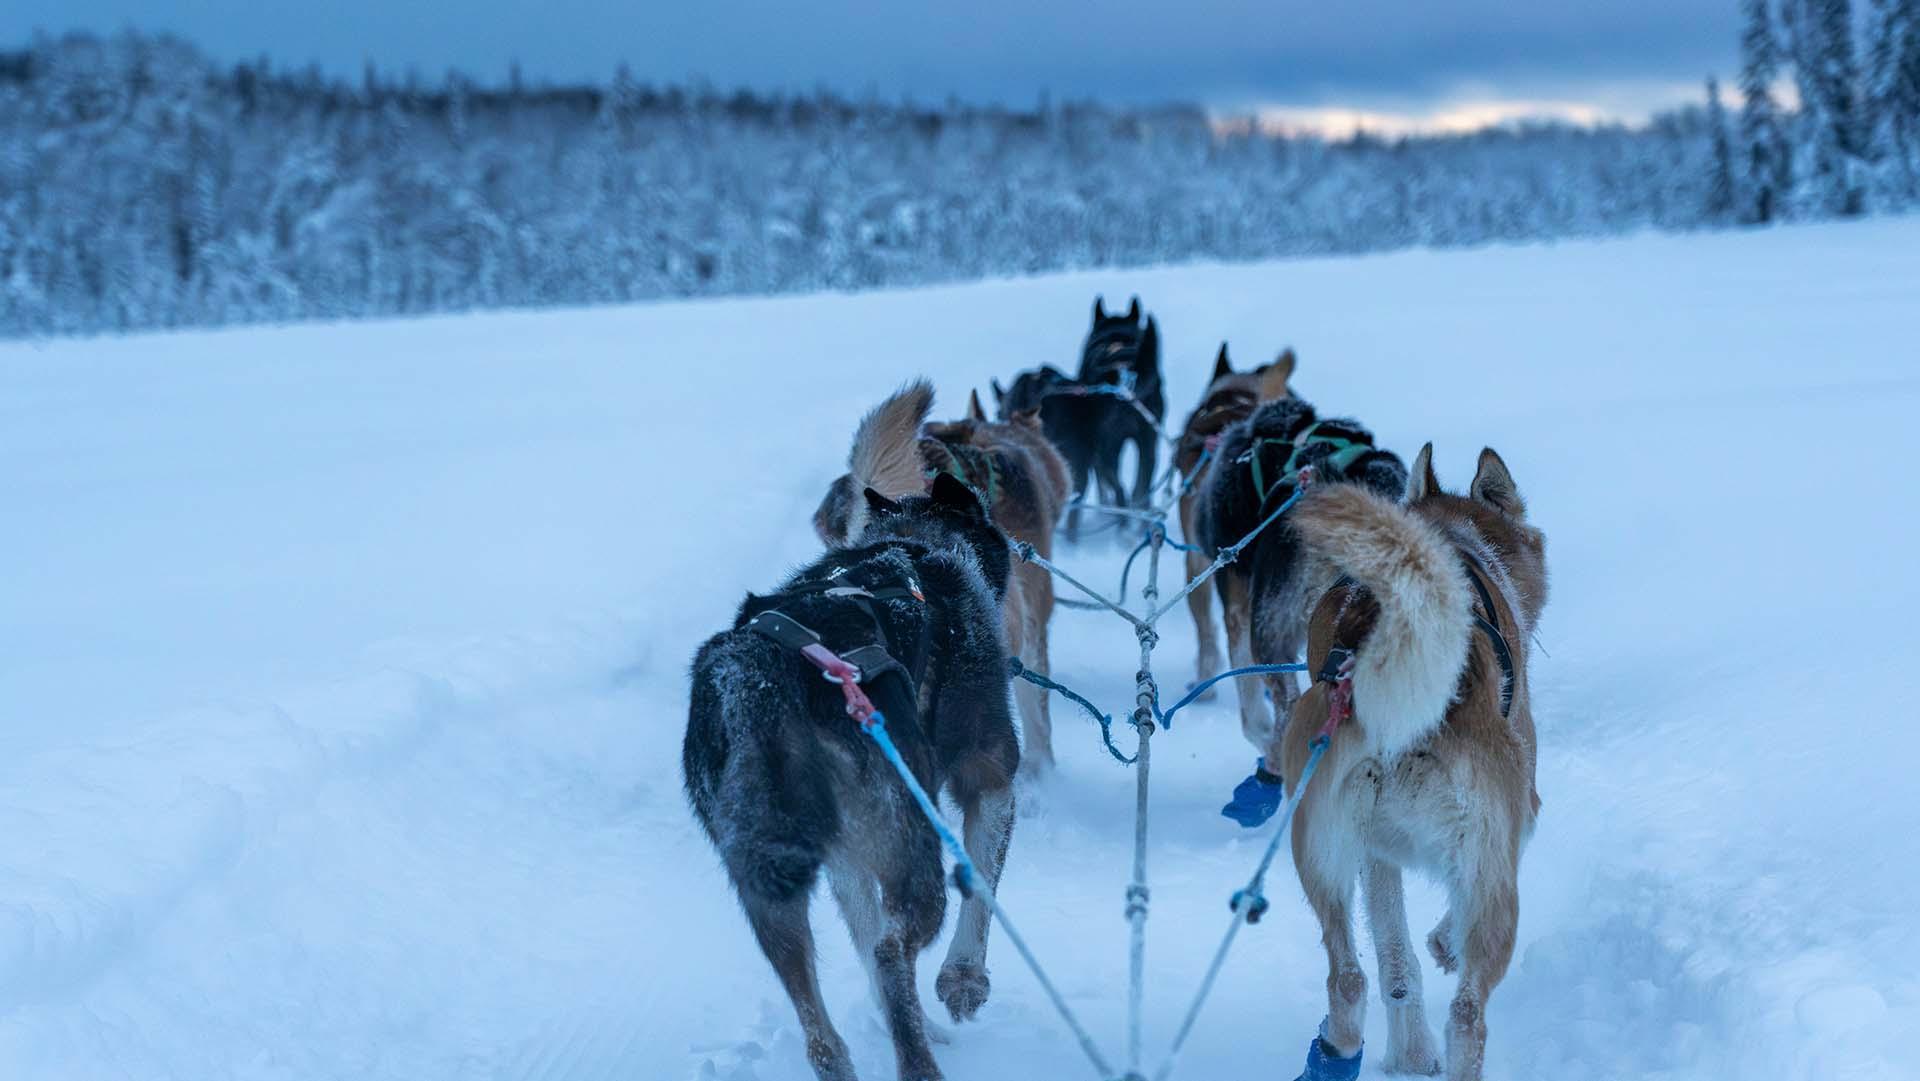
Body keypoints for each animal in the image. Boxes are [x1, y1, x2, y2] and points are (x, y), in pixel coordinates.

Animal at [687, 384, 1021, 1081]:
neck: (918, 542)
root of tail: (759, 676)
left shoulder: (845, 856)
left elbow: (863, 937)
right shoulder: (990, 774)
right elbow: (981, 885)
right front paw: (964, 981)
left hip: (772, 878)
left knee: (824, 1025)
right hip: (911, 840)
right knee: (893, 951)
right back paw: (920, 1063)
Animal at [1267, 445, 1551, 1081]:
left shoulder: (1379, 855)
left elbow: (1397, 966)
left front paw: (1410, 1053)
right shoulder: (1524, 811)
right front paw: (1445, 943)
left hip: (1320, 852)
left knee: (1351, 978)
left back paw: (1342, 1053)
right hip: (1492, 876)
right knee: (1468, 1014)